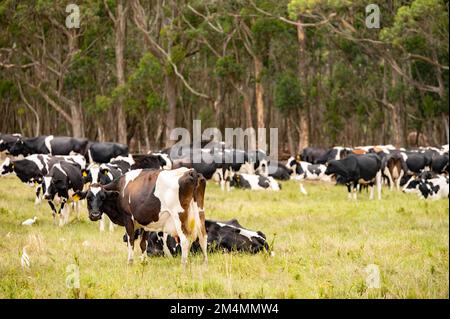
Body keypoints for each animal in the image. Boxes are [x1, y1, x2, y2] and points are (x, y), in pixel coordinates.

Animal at [76, 168, 208, 264]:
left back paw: (183, 264)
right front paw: (144, 261)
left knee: (185, 240)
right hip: (200, 212)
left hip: (179, 217)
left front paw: (130, 262)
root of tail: (190, 172)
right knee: (203, 237)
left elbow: (131, 240)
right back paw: (204, 263)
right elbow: (143, 243)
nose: (95, 215)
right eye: (88, 198)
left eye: (102, 197)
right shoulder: (146, 221)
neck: (121, 187)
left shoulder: (128, 218)